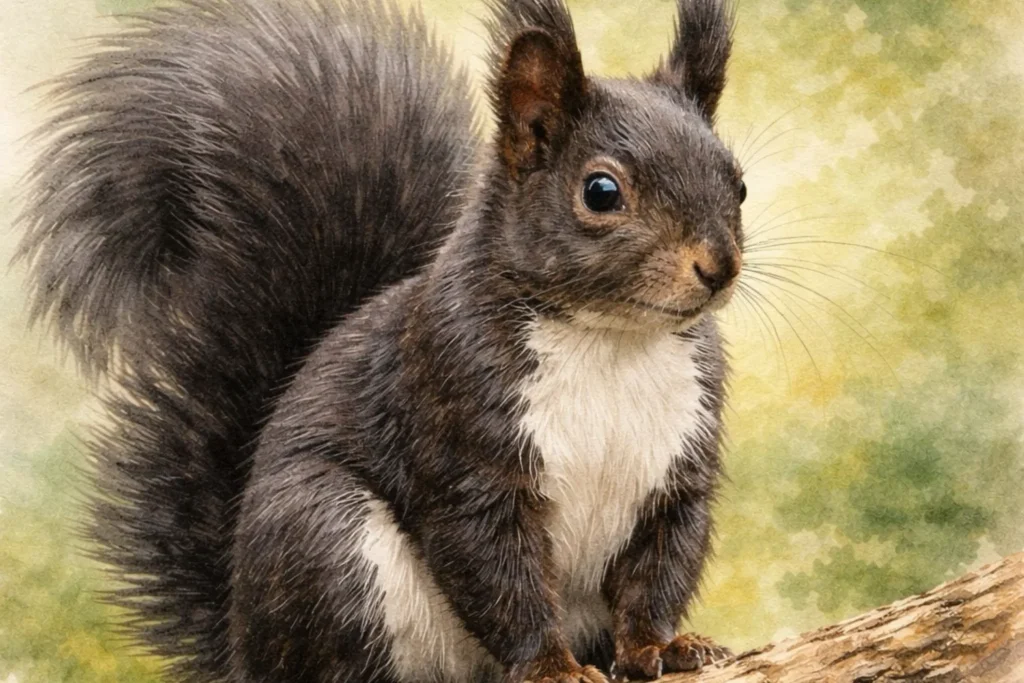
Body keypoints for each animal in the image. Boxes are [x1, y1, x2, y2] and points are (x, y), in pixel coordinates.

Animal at [16, 0, 747, 681]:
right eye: (601, 191)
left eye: (737, 183)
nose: (719, 267)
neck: (611, 341)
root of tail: (242, 649)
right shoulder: (462, 440)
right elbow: (500, 576)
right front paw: (551, 666)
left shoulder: (677, 474)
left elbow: (656, 575)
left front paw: (663, 647)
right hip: (326, 539)